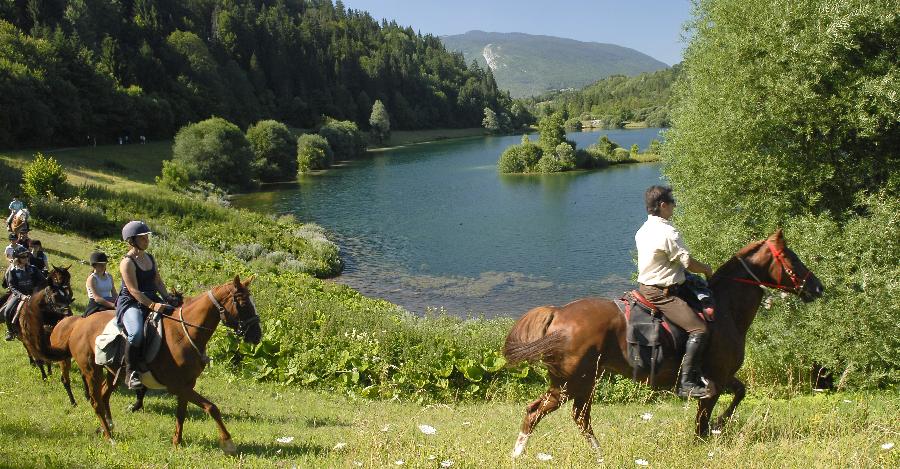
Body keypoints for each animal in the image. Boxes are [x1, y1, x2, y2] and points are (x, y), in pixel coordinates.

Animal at [35, 274, 260, 454]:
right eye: (242, 304)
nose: (257, 336)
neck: (183, 334)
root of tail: (78, 324)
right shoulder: (177, 385)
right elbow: (212, 408)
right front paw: (228, 442)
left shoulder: (187, 385)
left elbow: (181, 413)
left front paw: (176, 442)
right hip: (91, 371)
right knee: (96, 401)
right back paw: (109, 436)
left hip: (114, 372)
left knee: (105, 394)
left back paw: (109, 426)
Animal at [502, 229, 828, 458]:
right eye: (792, 258)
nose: (818, 287)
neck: (726, 308)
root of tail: (558, 313)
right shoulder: (714, 380)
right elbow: (702, 420)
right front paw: (707, 438)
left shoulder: (724, 376)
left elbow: (740, 393)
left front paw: (721, 426)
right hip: (574, 383)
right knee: (553, 414)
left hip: (577, 381)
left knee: (564, 415)